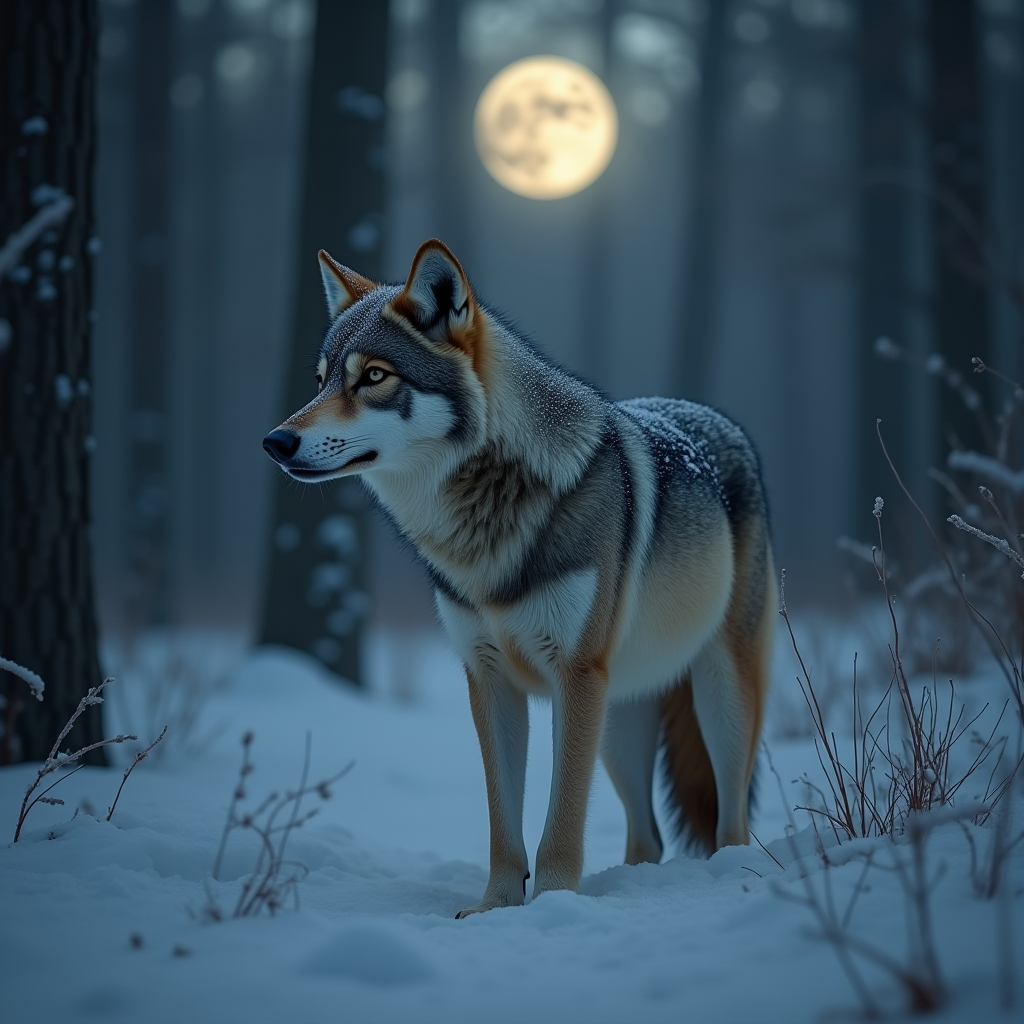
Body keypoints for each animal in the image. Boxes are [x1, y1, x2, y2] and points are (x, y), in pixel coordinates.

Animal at [264, 239, 776, 917]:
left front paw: (555, 904)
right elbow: (502, 824)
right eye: (320, 380)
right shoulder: (488, 679)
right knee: (649, 837)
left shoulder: (573, 677)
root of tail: (715, 416)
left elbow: (561, 822)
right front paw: (495, 909)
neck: (482, 525)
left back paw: (729, 875)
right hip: (620, 724)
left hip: (717, 698)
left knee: (731, 822)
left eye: (373, 376)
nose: (276, 441)